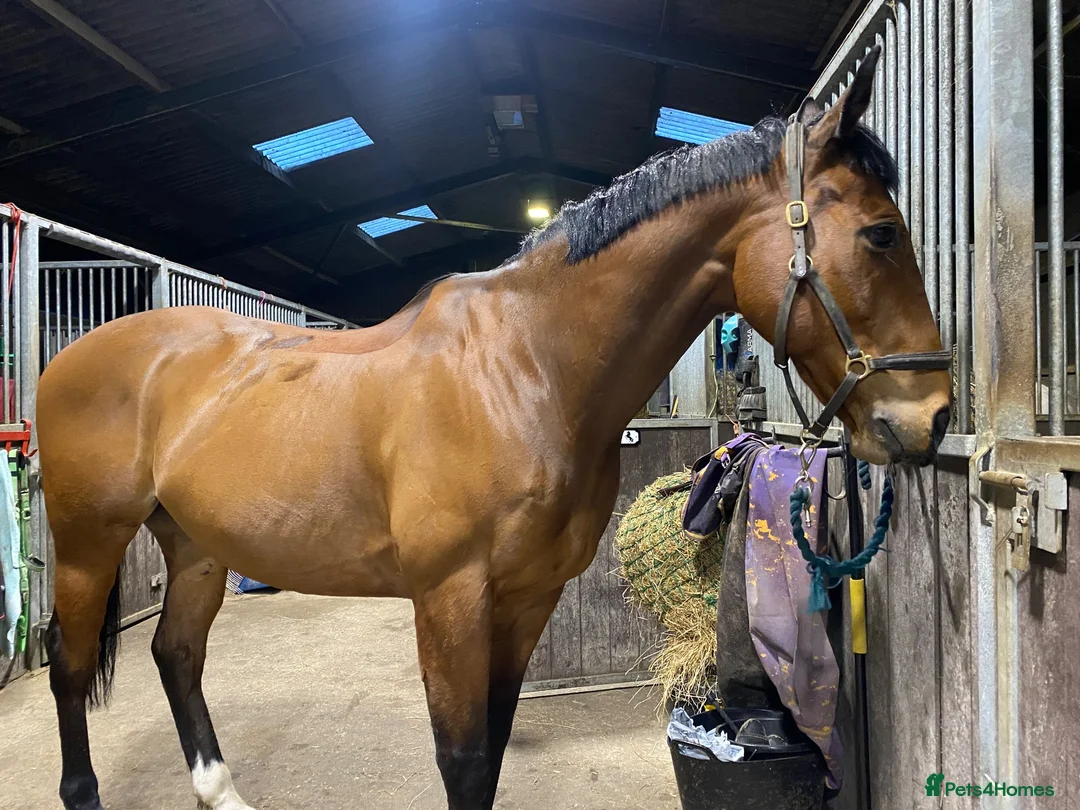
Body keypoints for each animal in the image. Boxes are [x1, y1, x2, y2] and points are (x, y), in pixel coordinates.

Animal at [37, 48, 950, 810]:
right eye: (881, 233)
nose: (931, 417)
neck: (522, 371)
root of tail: (71, 355)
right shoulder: (450, 600)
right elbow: (464, 759)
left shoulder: (526, 598)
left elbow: (497, 748)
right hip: (88, 545)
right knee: (69, 665)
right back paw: (82, 793)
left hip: (195, 545)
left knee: (175, 656)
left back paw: (220, 791)